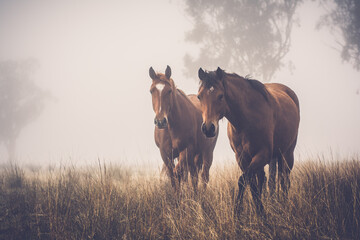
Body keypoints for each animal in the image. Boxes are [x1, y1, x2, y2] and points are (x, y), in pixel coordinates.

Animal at [195, 67, 300, 216]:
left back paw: (283, 205)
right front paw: (258, 212)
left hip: (287, 154)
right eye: (199, 96)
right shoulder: (241, 157)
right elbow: (252, 184)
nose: (208, 128)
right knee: (264, 178)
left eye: (221, 96)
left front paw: (238, 212)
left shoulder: (263, 154)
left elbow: (242, 180)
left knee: (284, 180)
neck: (247, 120)